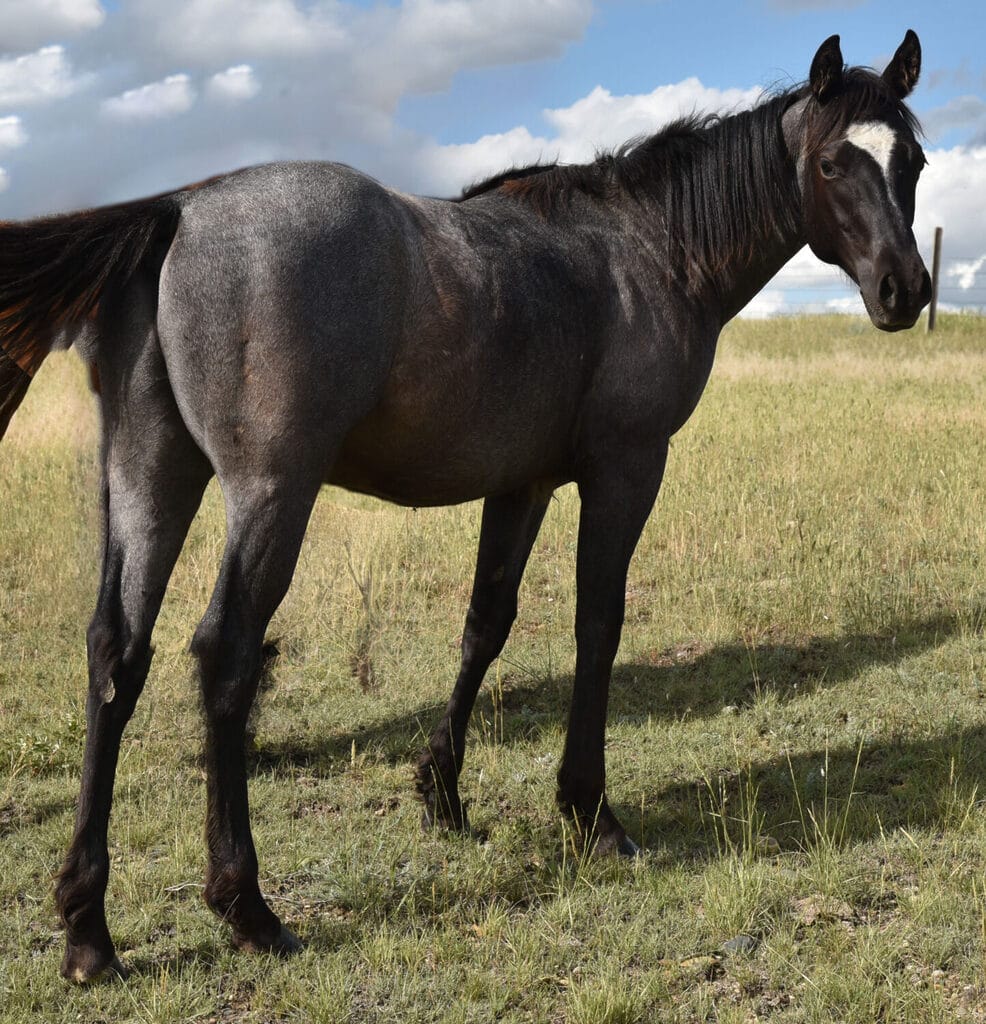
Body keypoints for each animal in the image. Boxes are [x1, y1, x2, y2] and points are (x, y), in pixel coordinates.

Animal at [0, 32, 930, 981]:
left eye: (916, 163)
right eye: (832, 162)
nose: (906, 290)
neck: (649, 246)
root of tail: (180, 212)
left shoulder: (522, 483)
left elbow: (487, 623)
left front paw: (441, 793)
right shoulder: (625, 469)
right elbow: (598, 623)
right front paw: (590, 812)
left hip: (150, 479)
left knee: (117, 655)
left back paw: (88, 928)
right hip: (269, 495)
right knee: (225, 655)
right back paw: (247, 906)